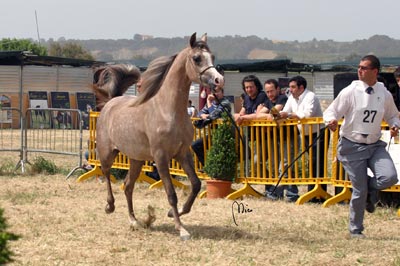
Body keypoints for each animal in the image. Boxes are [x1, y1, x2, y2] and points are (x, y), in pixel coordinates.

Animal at [94, 32, 225, 239]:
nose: (219, 81)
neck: (169, 110)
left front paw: (174, 213)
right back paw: (110, 206)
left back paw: (134, 221)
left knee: (128, 186)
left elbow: (196, 184)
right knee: (106, 174)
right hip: (107, 153)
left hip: (136, 159)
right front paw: (181, 229)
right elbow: (171, 193)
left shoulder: (183, 153)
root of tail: (110, 103)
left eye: (212, 57)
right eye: (197, 58)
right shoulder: (161, 157)